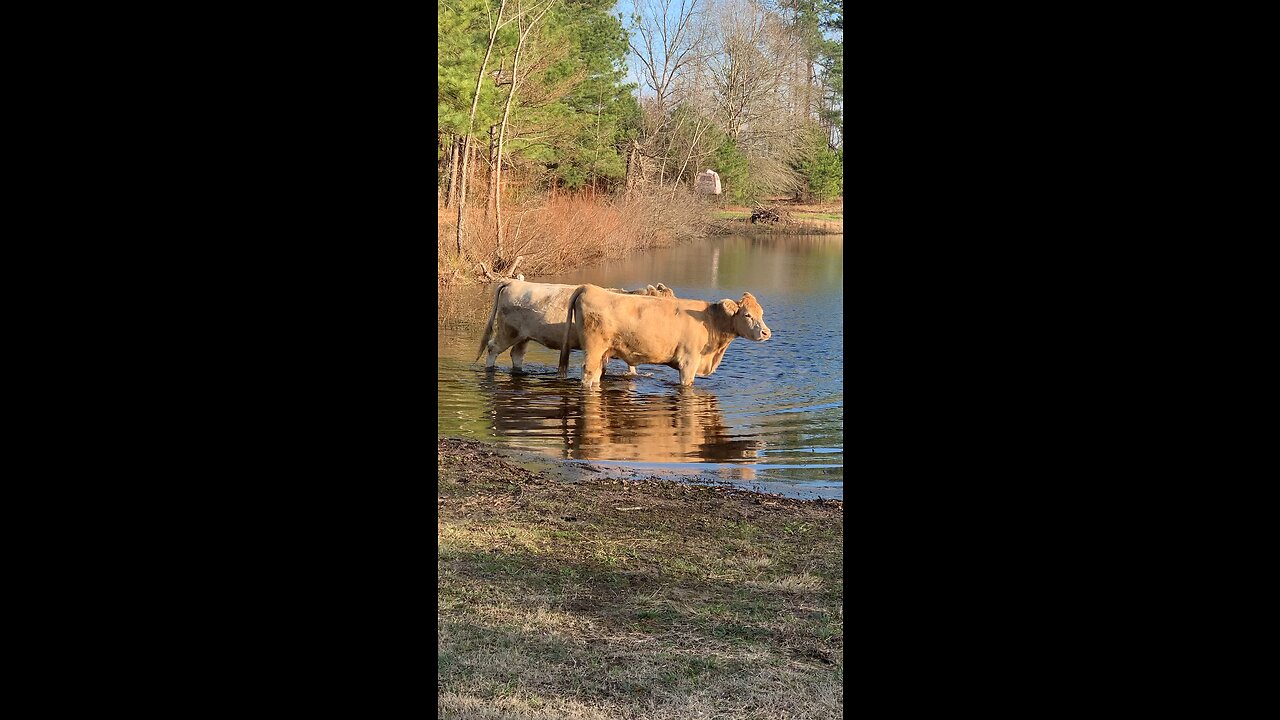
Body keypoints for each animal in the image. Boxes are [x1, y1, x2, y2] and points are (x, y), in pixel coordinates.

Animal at [552, 284, 768, 389]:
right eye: (747, 315)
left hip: (602, 352)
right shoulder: (689, 361)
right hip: (594, 348)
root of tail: (589, 287)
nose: (766, 332)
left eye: (762, 313)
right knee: (587, 373)